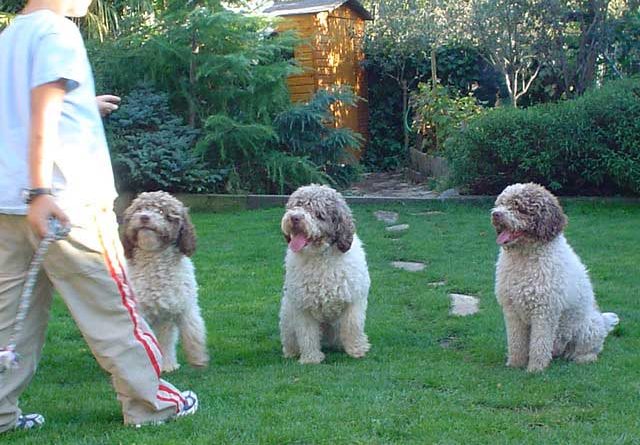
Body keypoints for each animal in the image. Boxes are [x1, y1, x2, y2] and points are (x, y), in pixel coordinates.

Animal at [121, 191, 209, 372]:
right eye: (139, 209)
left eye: (162, 212)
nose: (144, 217)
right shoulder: (141, 313)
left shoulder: (183, 308)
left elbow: (192, 333)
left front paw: (195, 361)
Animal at [278, 184, 370, 364]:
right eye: (295, 206)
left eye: (318, 213)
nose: (295, 218)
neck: (320, 257)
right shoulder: (302, 305)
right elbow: (307, 334)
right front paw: (311, 358)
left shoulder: (354, 299)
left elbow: (352, 326)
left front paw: (356, 350)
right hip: (287, 314)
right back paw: (291, 352)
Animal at [492, 182, 616, 372]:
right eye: (501, 203)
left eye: (519, 207)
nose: (496, 214)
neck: (524, 258)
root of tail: (602, 320)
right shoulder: (512, 309)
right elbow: (516, 342)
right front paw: (515, 364)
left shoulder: (544, 311)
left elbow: (539, 343)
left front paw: (535, 369)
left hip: (589, 327)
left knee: (592, 348)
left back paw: (584, 358)